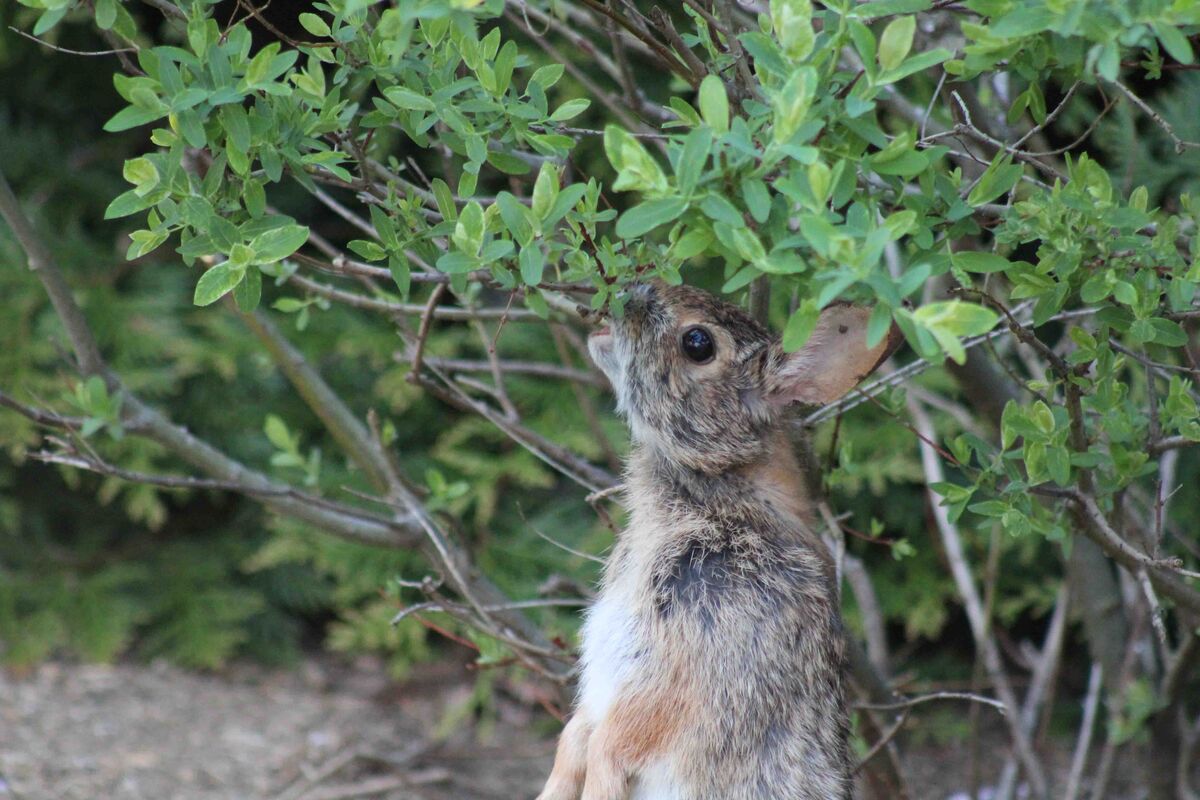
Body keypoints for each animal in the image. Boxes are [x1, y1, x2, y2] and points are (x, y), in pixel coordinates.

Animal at [537, 280, 901, 800]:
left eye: (698, 343)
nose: (630, 292)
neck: (722, 498)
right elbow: (575, 735)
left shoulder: (696, 661)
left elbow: (618, 738)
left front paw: (600, 788)